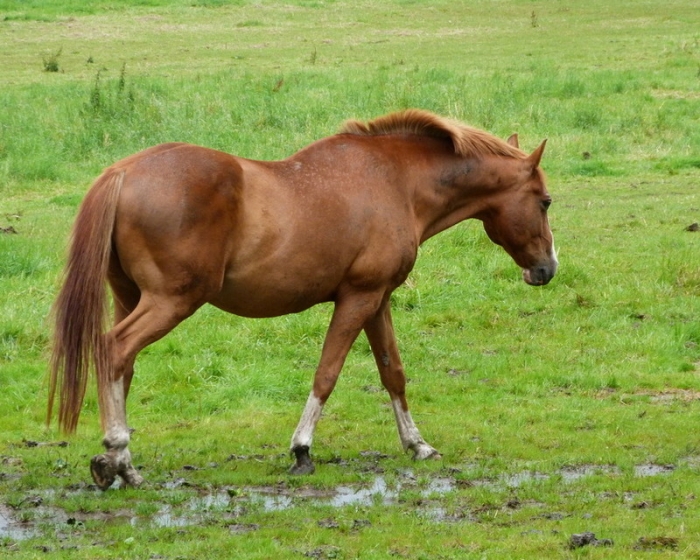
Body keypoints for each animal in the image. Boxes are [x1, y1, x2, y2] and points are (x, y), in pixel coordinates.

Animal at [49, 109, 557, 489]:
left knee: (121, 365)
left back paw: (119, 464)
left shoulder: (378, 301)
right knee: (115, 349)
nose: (547, 269)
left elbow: (393, 373)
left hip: (130, 297)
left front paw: (418, 445)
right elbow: (327, 374)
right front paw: (302, 449)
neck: (397, 181)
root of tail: (122, 172)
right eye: (545, 201)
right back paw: (118, 455)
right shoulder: (357, 298)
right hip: (170, 302)